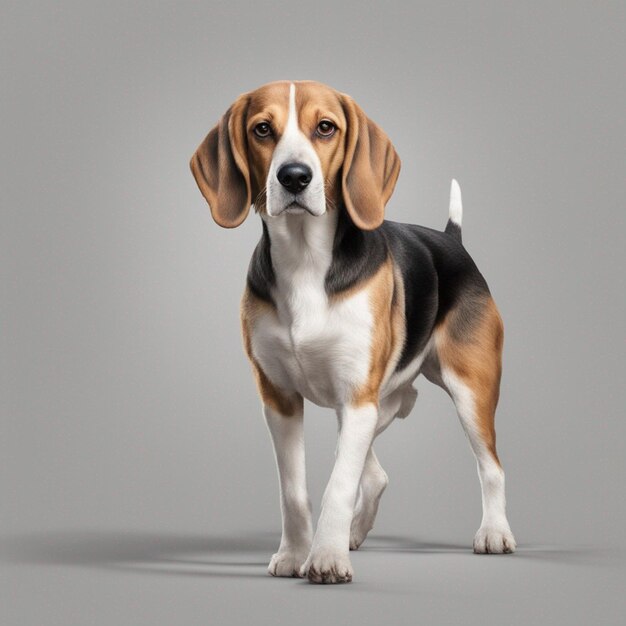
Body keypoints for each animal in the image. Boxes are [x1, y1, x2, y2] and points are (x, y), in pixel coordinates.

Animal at [188, 80, 516, 584]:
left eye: (326, 127)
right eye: (262, 129)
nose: (294, 177)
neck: (305, 259)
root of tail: (451, 239)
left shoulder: (357, 396)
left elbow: (338, 484)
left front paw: (325, 558)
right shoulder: (280, 399)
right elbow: (294, 491)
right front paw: (294, 554)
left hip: (468, 391)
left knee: (491, 466)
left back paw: (494, 533)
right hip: (370, 406)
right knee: (377, 471)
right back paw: (355, 533)